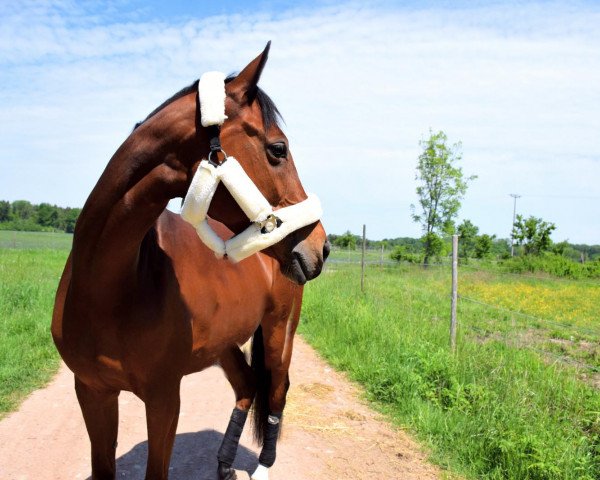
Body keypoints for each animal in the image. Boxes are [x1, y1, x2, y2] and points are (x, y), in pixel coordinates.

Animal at [52, 42, 330, 480]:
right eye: (278, 149)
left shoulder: (164, 398)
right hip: (225, 344)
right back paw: (224, 464)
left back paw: (262, 467)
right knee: (248, 386)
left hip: (279, 332)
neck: (110, 287)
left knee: (277, 391)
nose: (321, 247)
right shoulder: (92, 392)